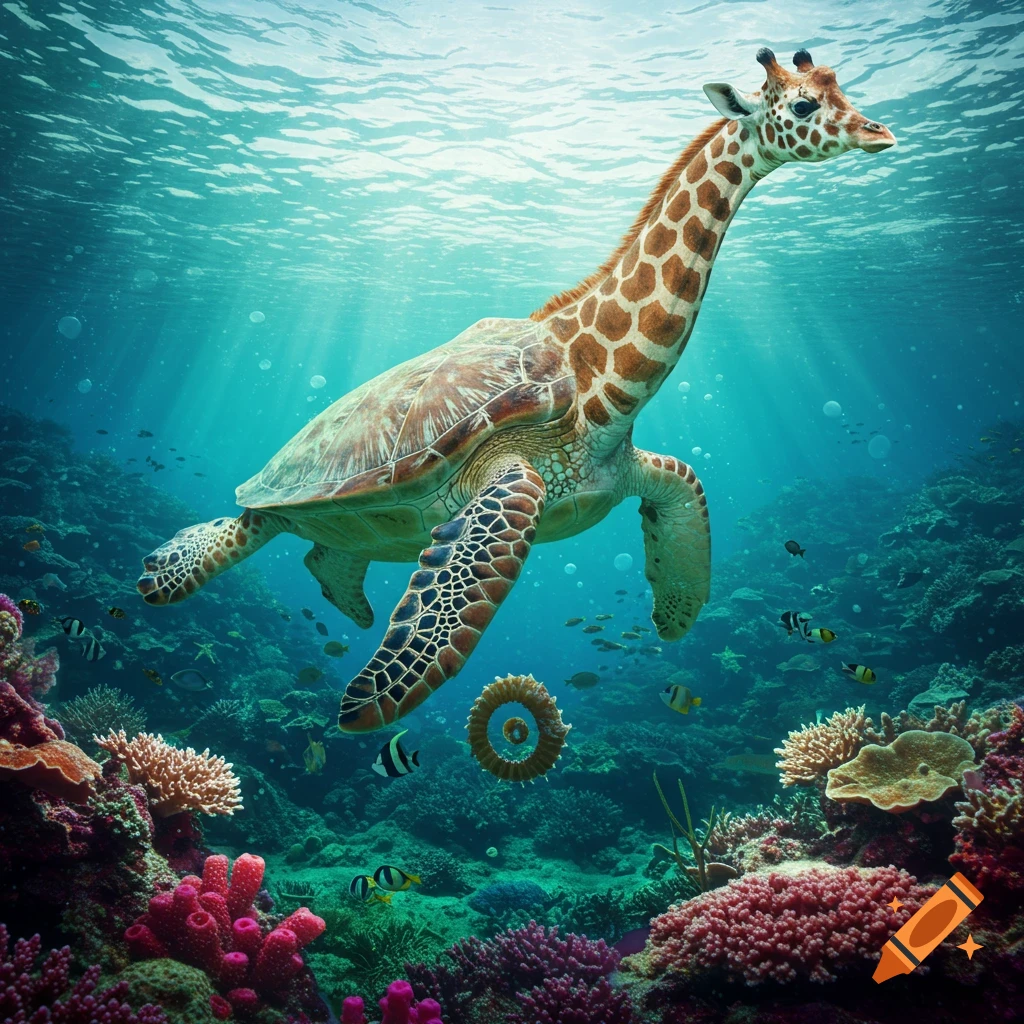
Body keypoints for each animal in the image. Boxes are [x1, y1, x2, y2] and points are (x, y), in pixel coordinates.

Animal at [136, 48, 895, 733]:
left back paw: (347, 601)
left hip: (335, 520)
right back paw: (158, 569)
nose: (880, 131)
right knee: (244, 529)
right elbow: (467, 585)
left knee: (321, 549)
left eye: (840, 84)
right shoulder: (509, 478)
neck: (599, 386)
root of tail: (272, 470)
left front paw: (673, 618)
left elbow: (689, 503)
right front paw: (370, 696)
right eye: (804, 105)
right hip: (283, 496)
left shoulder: (632, 469)